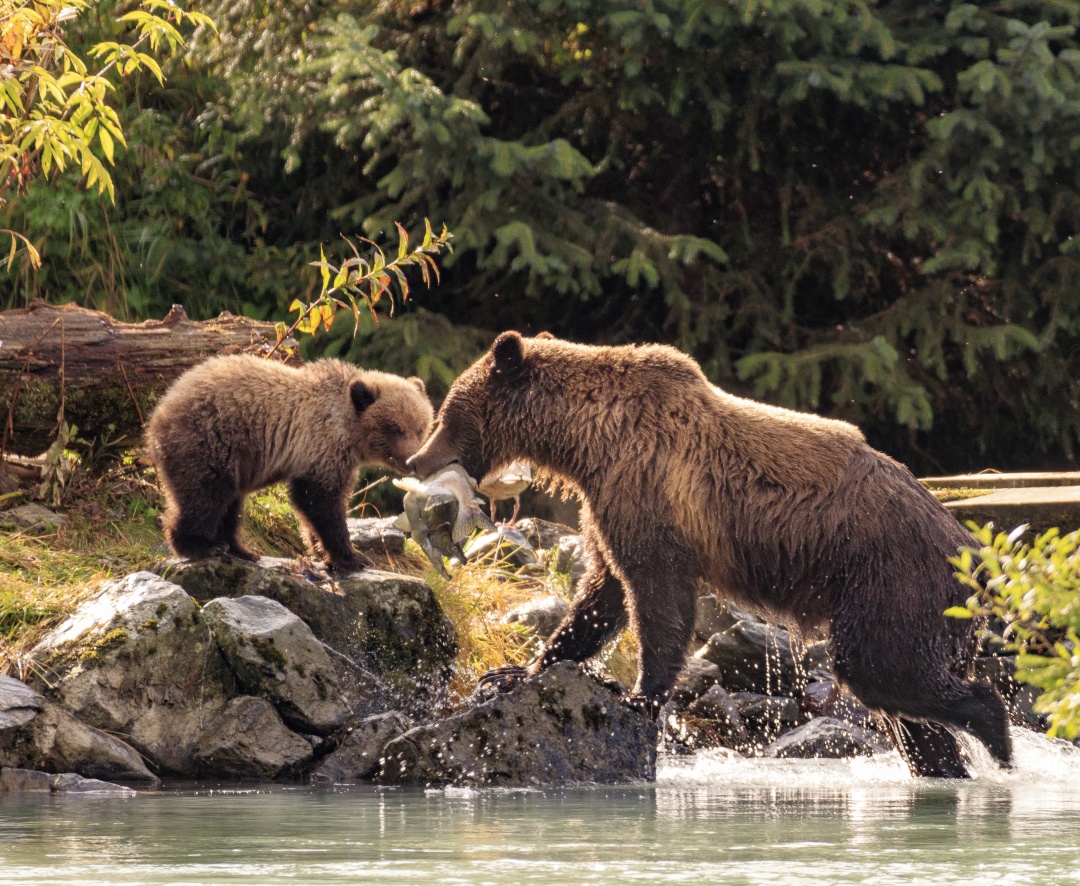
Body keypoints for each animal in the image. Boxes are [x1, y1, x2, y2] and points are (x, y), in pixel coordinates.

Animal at [146, 354, 433, 572]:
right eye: (396, 429)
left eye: (420, 428)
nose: (411, 461)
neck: (349, 431)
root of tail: (159, 411)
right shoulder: (322, 446)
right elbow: (320, 501)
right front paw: (353, 557)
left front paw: (321, 551)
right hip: (210, 441)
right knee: (204, 496)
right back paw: (200, 545)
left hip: (234, 460)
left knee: (230, 503)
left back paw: (241, 549)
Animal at [406, 331, 1012, 778]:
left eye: (449, 411)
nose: (416, 460)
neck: (587, 441)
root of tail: (975, 553)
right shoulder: (607, 503)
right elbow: (600, 595)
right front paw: (517, 671)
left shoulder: (646, 488)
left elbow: (656, 592)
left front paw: (639, 695)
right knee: (904, 707)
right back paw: (945, 765)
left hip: (892, 579)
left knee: (883, 669)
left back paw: (997, 739)